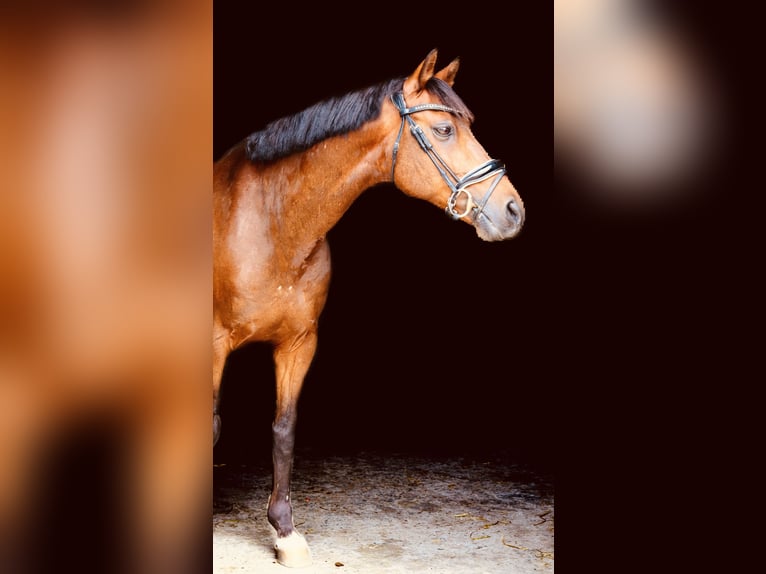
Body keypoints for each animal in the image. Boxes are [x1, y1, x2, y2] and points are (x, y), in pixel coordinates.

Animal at [213, 49, 525, 567]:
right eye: (445, 130)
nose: (513, 211)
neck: (273, 221)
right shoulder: (213, 345)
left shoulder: (298, 344)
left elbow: (283, 430)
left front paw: (285, 531)